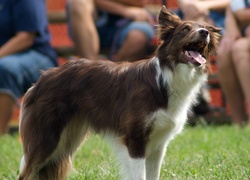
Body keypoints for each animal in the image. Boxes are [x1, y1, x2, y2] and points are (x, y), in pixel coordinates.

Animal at [18, 6, 220, 180]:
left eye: (204, 28)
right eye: (185, 29)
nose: (205, 32)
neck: (166, 78)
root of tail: (41, 79)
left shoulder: (158, 144)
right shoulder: (135, 138)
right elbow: (139, 175)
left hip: (66, 140)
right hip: (47, 138)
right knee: (26, 173)